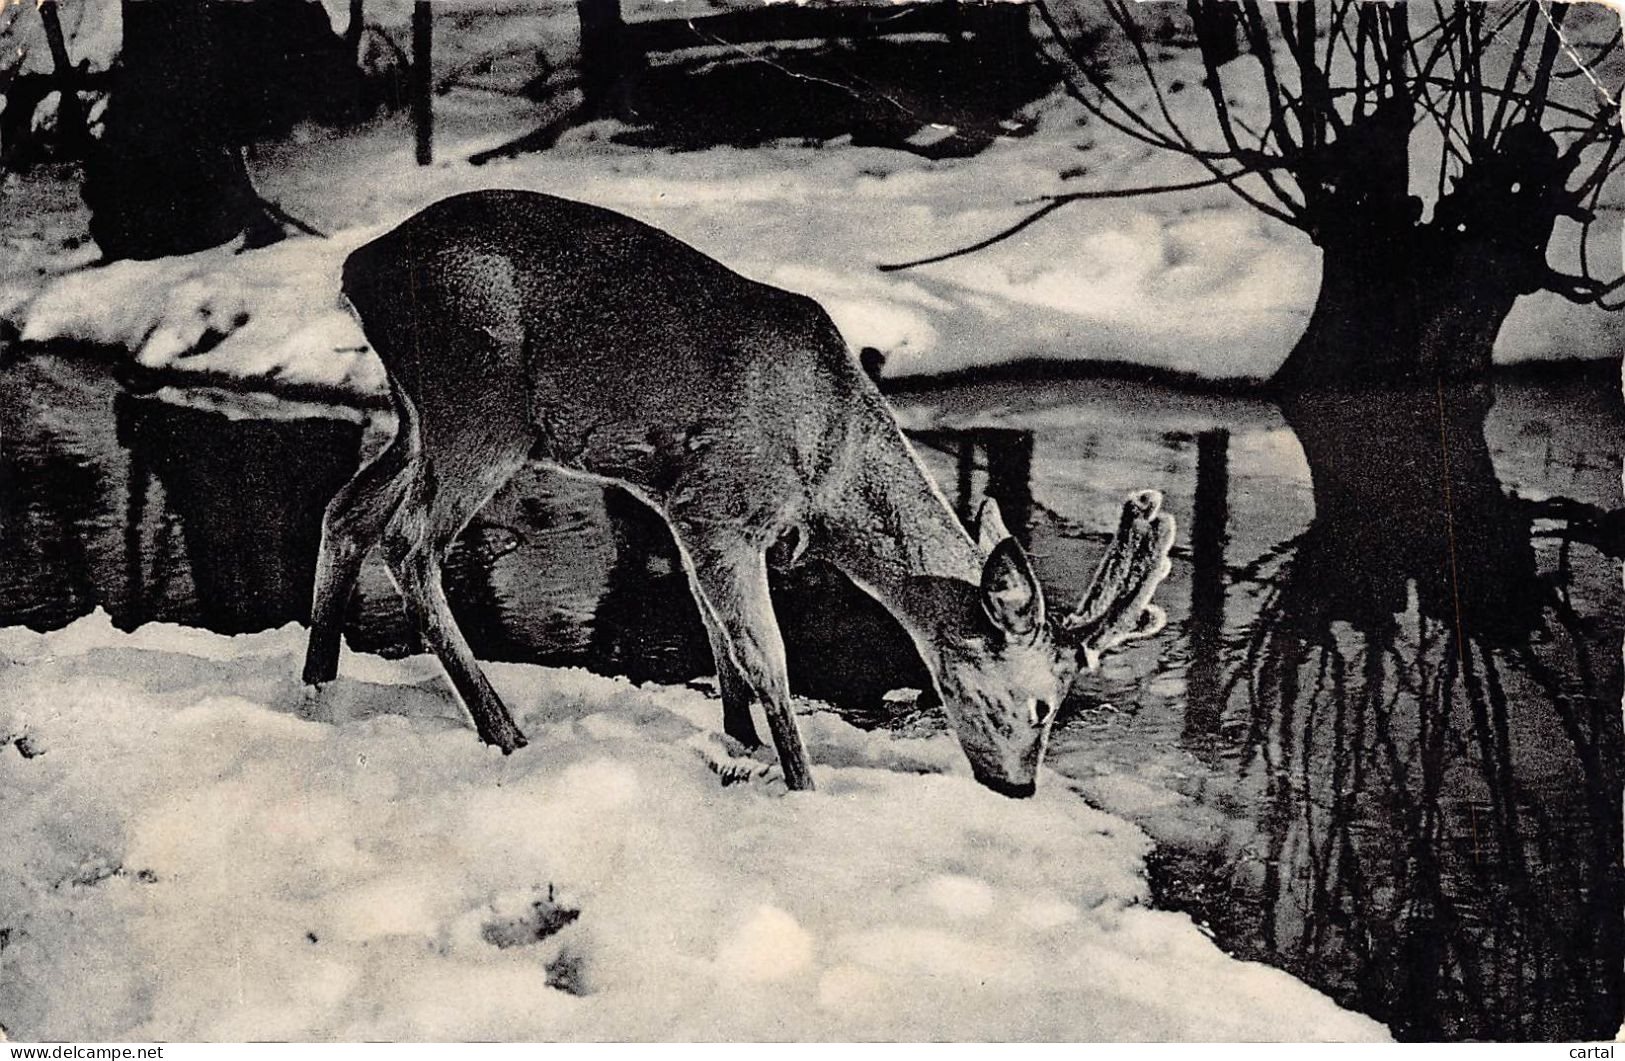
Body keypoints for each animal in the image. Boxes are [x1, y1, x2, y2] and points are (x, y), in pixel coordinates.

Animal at [301, 190, 1175, 797]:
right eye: (1042, 705)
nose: (1018, 786)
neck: (829, 474)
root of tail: (355, 269)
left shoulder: (680, 505)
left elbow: (717, 636)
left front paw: (739, 745)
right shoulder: (719, 503)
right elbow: (766, 654)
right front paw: (805, 785)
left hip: (416, 413)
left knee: (347, 509)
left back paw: (317, 685)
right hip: (478, 403)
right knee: (409, 540)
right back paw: (504, 729)